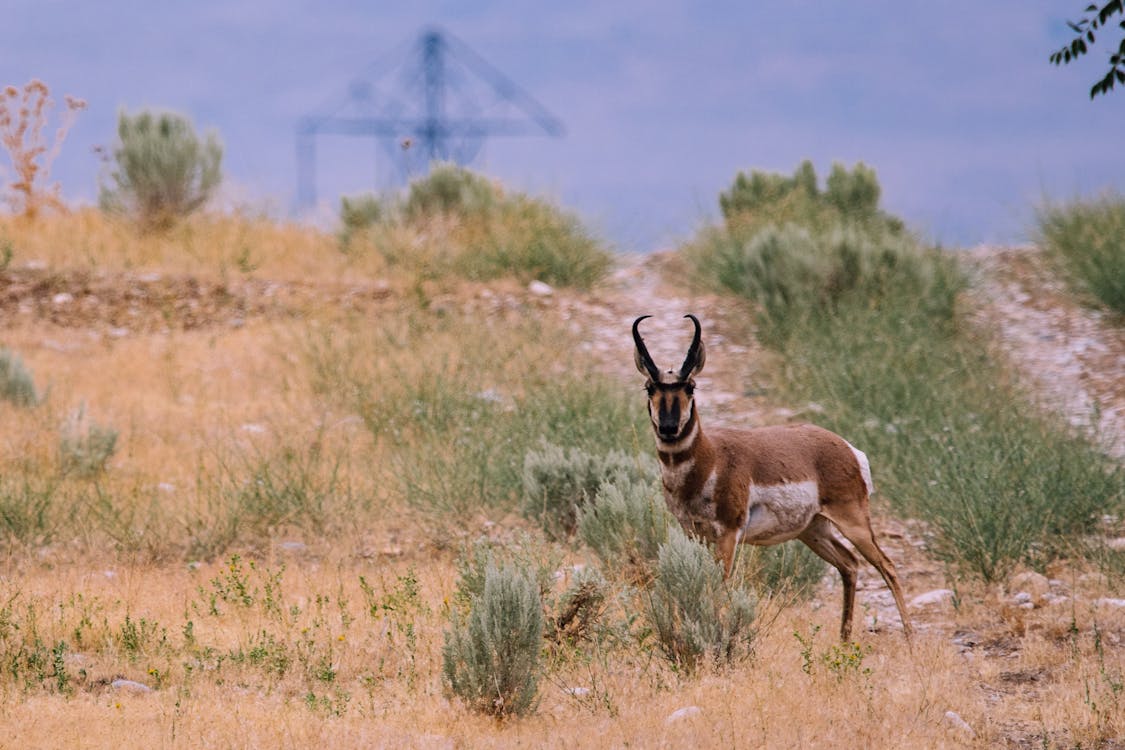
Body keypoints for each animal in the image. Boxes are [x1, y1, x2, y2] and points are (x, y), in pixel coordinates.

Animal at [634, 314, 913, 643]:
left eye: (690, 386)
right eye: (649, 388)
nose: (668, 428)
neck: (711, 457)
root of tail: (846, 448)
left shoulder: (728, 536)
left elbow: (719, 587)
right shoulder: (694, 534)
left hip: (853, 522)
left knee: (887, 566)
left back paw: (909, 639)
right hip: (813, 530)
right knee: (850, 564)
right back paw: (844, 641)